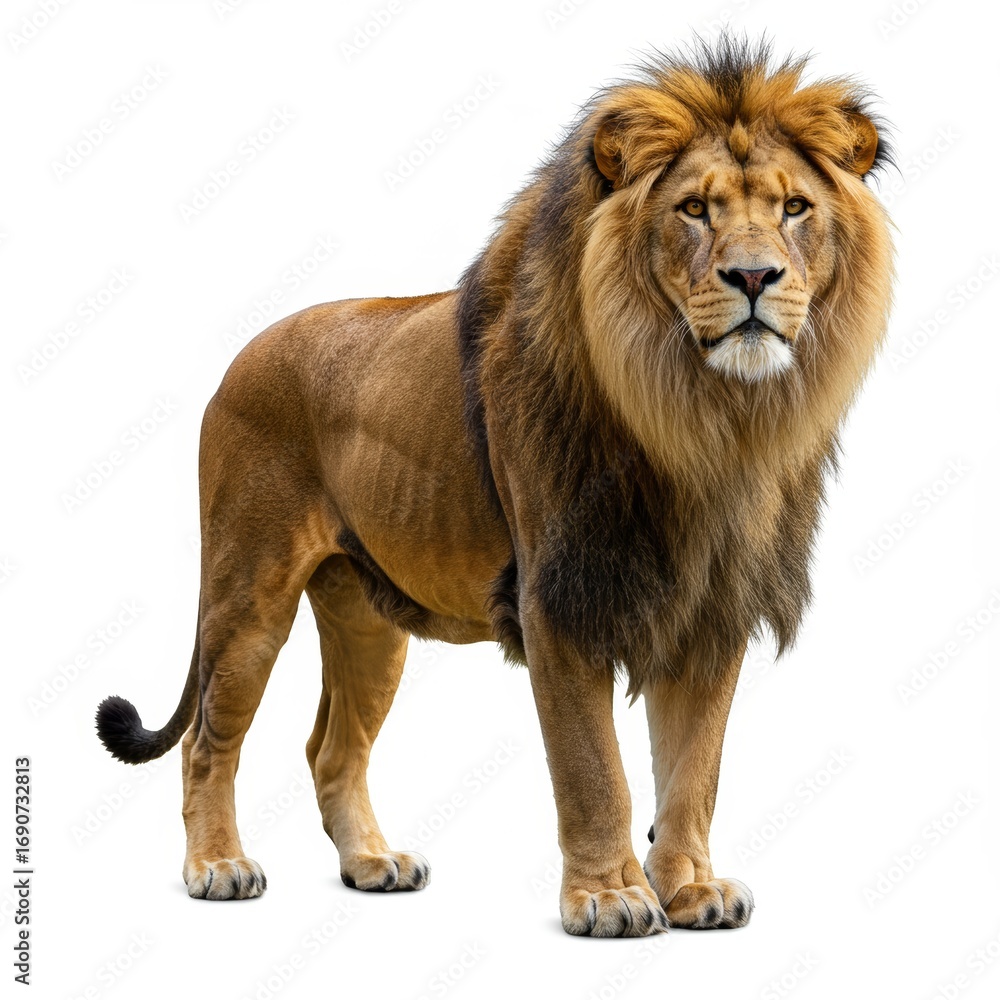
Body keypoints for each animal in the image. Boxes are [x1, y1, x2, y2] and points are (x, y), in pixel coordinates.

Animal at [96, 37, 894, 937]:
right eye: (694, 209)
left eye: (795, 207)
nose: (754, 276)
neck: (702, 417)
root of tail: (241, 354)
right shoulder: (560, 599)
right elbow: (593, 771)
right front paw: (609, 898)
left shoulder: (710, 605)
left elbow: (695, 771)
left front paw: (691, 889)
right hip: (248, 592)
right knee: (209, 739)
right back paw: (218, 866)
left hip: (367, 618)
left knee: (332, 748)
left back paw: (372, 863)